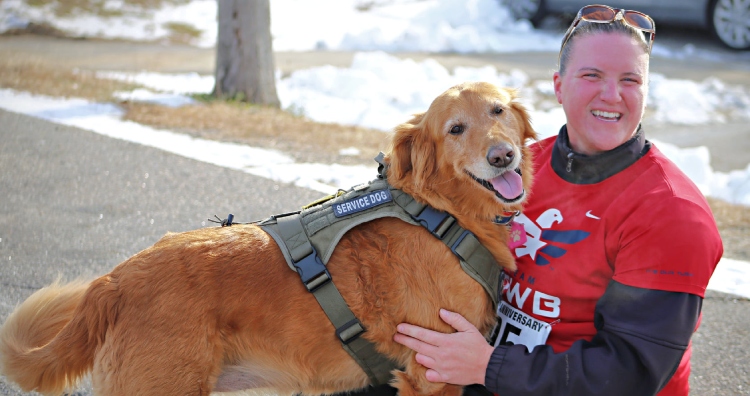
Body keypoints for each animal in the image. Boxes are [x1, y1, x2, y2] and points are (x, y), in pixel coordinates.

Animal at [1, 82, 540, 394]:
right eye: (455, 129)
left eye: (498, 111)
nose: (502, 156)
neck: (439, 211)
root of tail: (114, 280)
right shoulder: (431, 372)